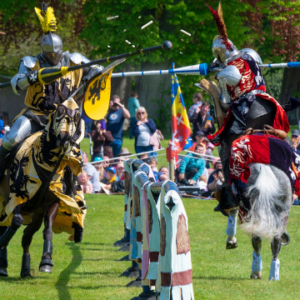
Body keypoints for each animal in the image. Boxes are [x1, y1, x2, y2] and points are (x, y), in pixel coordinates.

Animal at [0, 97, 85, 278]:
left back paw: (25, 269)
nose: (64, 137)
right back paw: (3, 265)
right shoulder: (17, 197)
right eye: (59, 112)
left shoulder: (51, 203)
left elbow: (48, 230)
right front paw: (2, 242)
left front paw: (46, 261)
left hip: (35, 215)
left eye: (76, 116)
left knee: (26, 236)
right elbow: (15, 221)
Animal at [198, 79, 292, 278]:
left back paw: (256, 271)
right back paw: (273, 273)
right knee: (275, 240)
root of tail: (264, 171)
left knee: (257, 238)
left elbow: (231, 208)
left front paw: (231, 239)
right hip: (282, 208)